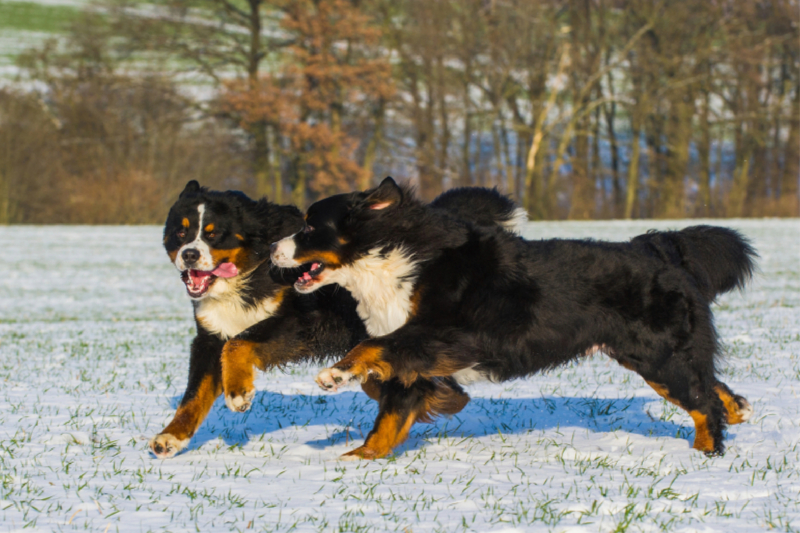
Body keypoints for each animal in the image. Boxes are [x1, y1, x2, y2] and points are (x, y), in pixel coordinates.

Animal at [150, 179, 524, 458]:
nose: (189, 255)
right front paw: (172, 437)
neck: (250, 273)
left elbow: (240, 345)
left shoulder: (302, 321)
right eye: (181, 233)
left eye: (214, 234)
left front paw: (239, 393)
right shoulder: (210, 335)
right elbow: (195, 394)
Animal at [272, 177, 760, 460]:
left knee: (703, 403)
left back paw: (706, 454)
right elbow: (388, 415)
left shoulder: (441, 334)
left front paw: (335, 374)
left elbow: (372, 348)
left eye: (309, 226)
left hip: (660, 357)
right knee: (710, 388)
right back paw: (738, 411)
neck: (393, 260)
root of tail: (658, 248)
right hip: (656, 358)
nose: (274, 249)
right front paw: (357, 461)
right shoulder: (415, 356)